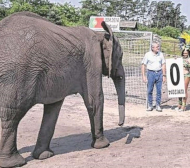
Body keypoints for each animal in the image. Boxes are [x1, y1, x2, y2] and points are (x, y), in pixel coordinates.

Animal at [0, 11, 124, 167]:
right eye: (121, 56)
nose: (120, 124)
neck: (101, 35)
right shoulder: (92, 61)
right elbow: (95, 100)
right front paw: (103, 145)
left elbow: (53, 107)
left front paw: (44, 156)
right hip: (18, 75)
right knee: (12, 113)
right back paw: (14, 163)